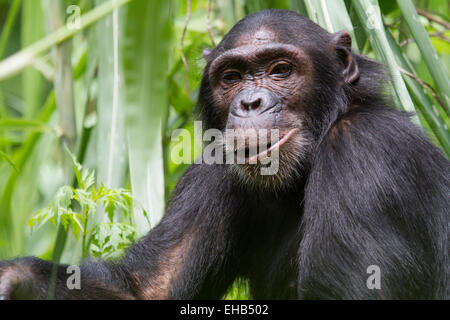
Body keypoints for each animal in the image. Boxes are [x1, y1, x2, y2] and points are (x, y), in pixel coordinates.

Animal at [0, 9, 448, 300]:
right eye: (231, 77)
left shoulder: (364, 154)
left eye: (280, 70)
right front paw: (13, 277)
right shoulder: (212, 170)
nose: (249, 102)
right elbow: (147, 289)